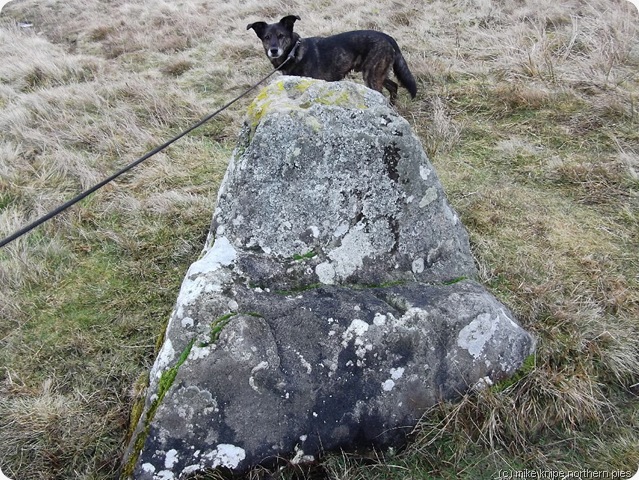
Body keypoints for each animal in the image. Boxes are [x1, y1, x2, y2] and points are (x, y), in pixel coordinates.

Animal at [248, 14, 418, 102]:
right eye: (266, 37)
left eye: (281, 35)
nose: (273, 50)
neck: (294, 52)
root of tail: (389, 38)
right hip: (376, 72)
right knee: (394, 86)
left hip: (372, 75)